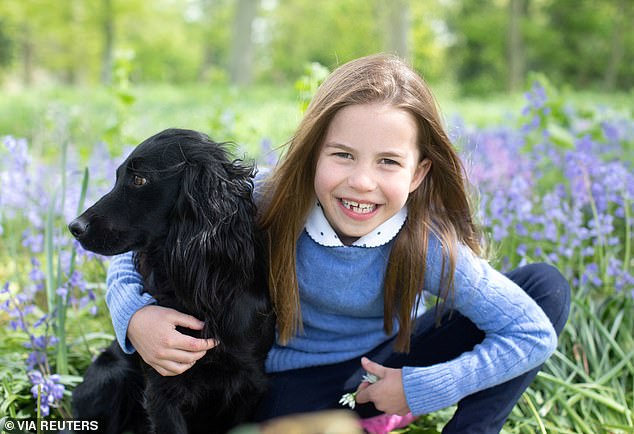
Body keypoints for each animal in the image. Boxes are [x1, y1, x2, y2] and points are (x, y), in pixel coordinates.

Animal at [68, 129, 274, 434]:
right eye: (118, 176)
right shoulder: (162, 388)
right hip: (111, 374)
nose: (74, 227)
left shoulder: (250, 384)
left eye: (139, 179)